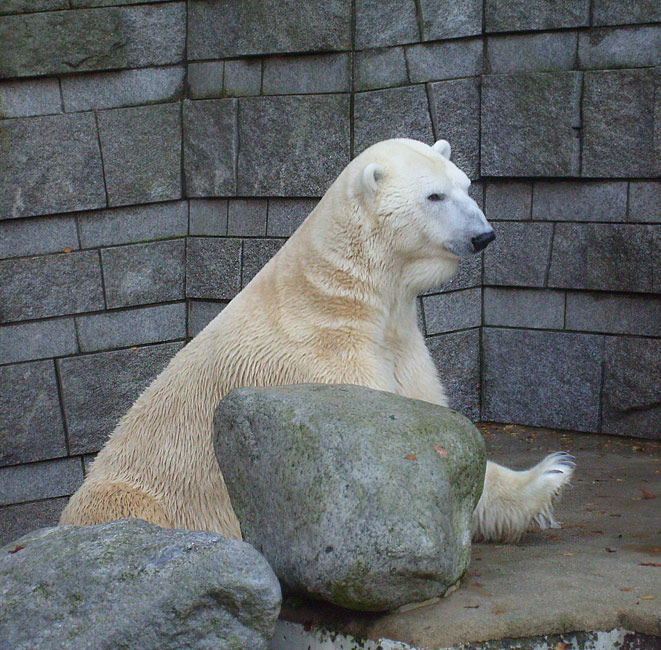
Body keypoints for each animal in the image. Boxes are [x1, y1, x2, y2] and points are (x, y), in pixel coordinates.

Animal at [60, 138, 572, 540]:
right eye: (434, 195)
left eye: (465, 186)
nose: (483, 235)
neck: (341, 295)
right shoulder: (325, 361)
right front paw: (547, 478)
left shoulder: (400, 343)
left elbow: (429, 415)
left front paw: (544, 479)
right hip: (137, 495)